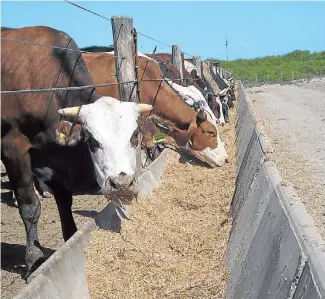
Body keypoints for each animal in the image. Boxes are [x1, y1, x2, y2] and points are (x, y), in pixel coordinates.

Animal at [0, 26, 154, 278]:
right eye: (91, 140)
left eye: (134, 136)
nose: (121, 185)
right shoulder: (13, 149)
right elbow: (30, 207)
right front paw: (34, 260)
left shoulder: (53, 162)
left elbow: (64, 203)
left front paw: (69, 240)